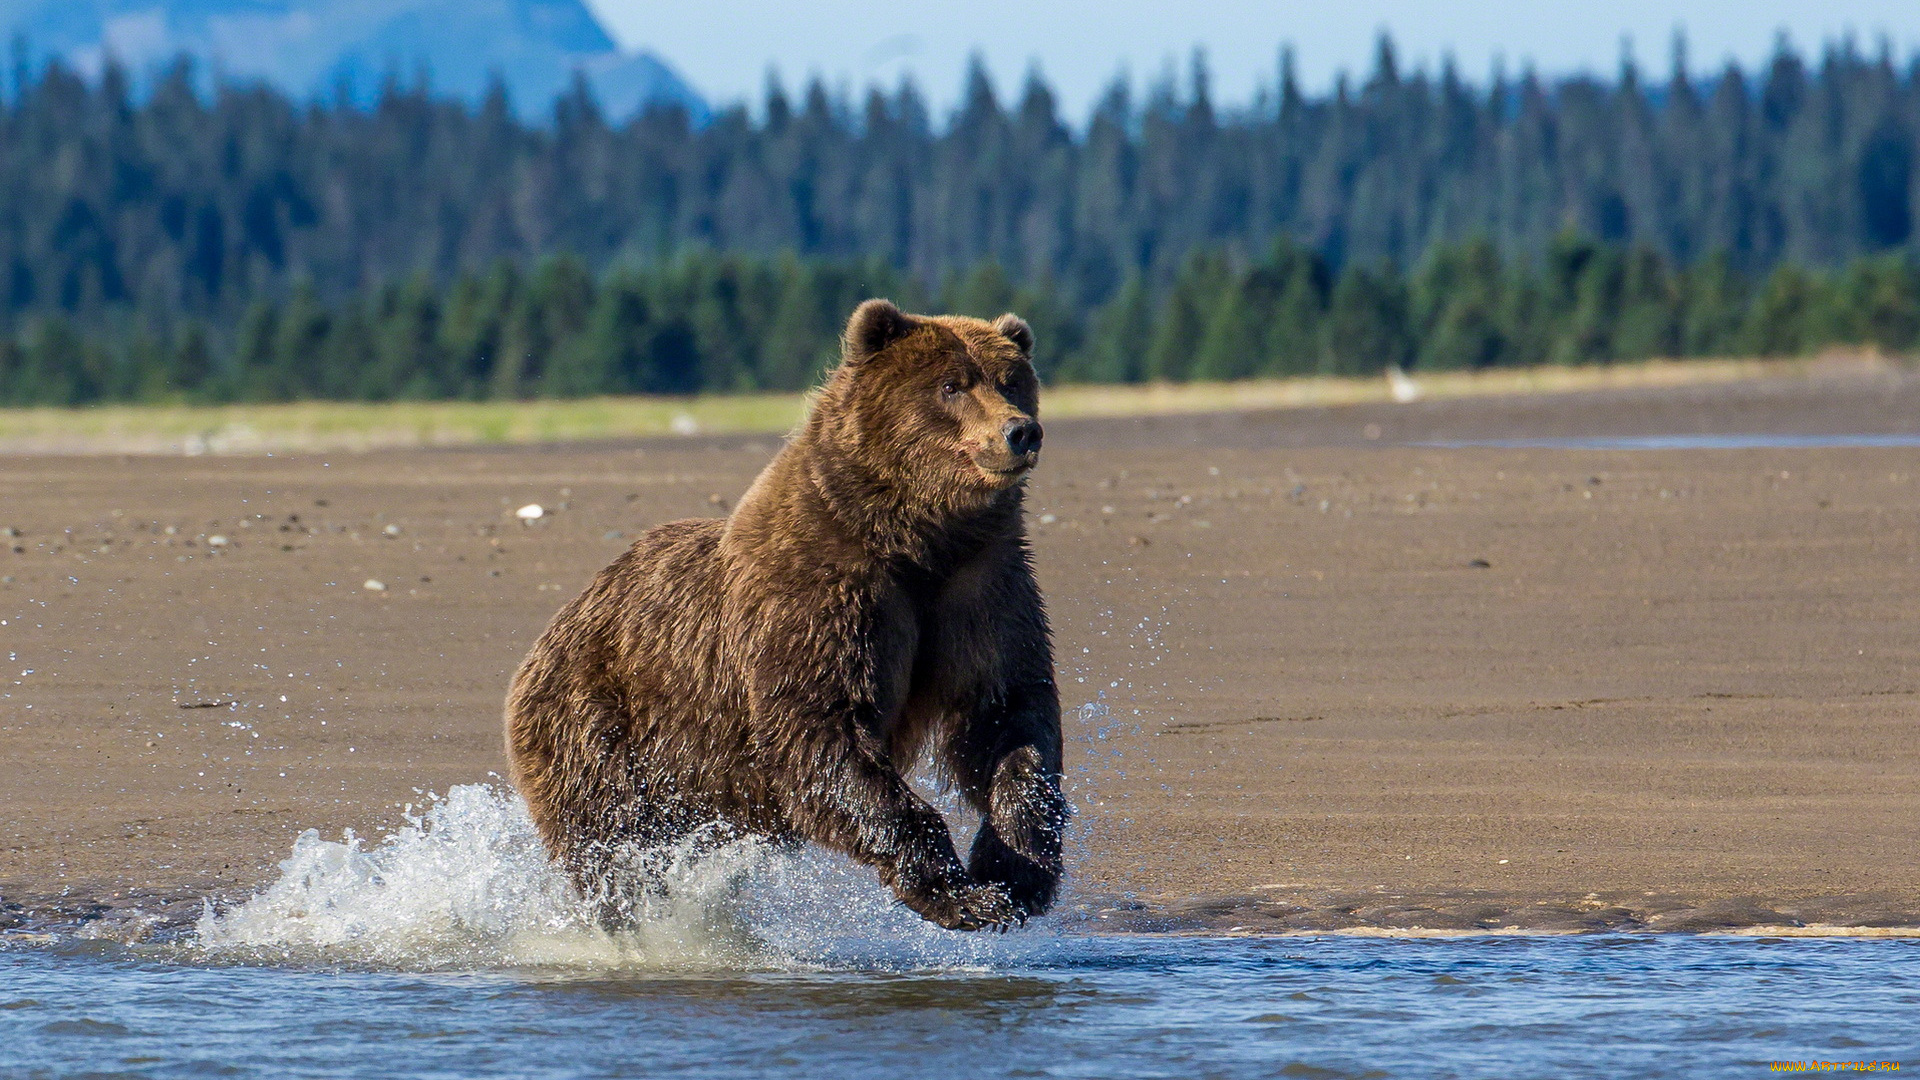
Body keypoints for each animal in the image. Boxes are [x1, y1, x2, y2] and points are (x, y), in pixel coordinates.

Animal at [503, 297, 1075, 930]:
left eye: (1012, 382)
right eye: (952, 385)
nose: (1020, 431)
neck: (916, 539)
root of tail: (553, 628)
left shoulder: (981, 588)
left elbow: (1007, 715)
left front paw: (1014, 872)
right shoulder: (821, 594)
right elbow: (819, 728)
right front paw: (960, 894)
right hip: (599, 725)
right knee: (612, 842)